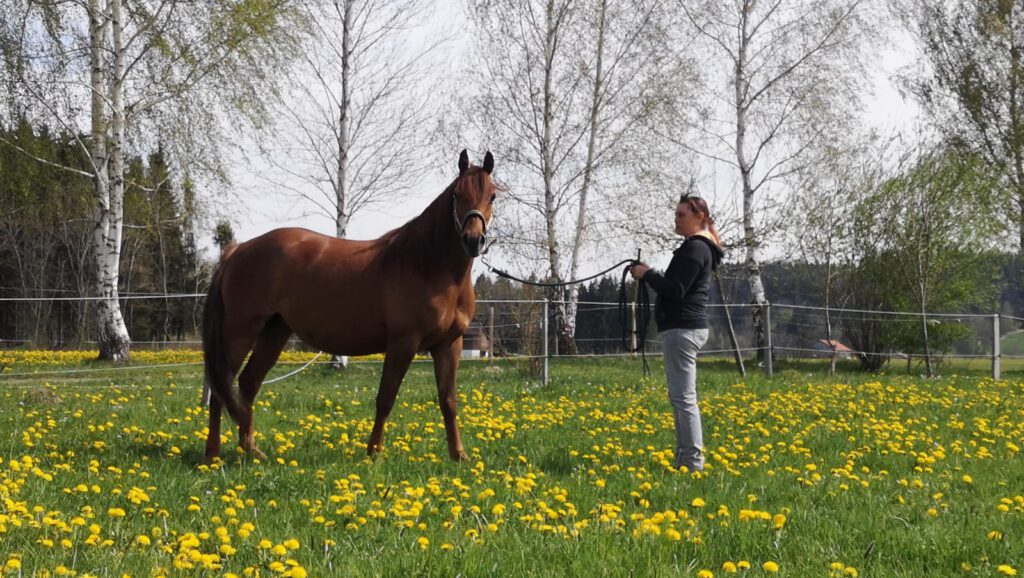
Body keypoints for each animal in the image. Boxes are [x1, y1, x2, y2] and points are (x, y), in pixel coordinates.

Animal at [199, 148, 495, 461]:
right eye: (457, 195)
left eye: (492, 196)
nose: (473, 240)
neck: (427, 266)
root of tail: (238, 250)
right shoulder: (403, 343)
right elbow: (385, 398)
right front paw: (374, 453)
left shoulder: (449, 344)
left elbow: (449, 401)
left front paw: (459, 455)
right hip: (240, 332)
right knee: (222, 388)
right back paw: (213, 455)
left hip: (274, 332)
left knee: (247, 384)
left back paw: (252, 450)